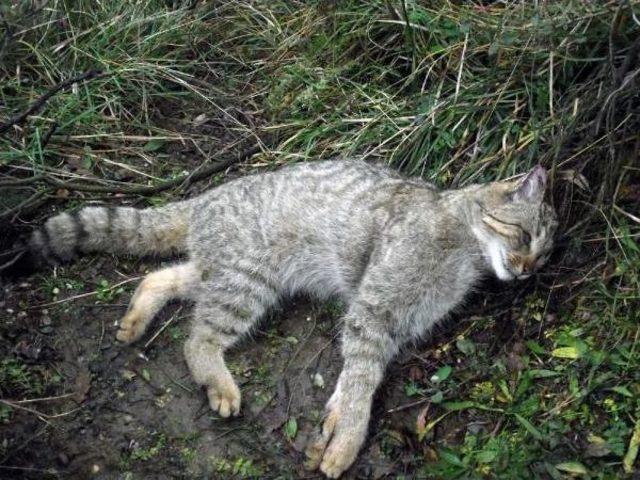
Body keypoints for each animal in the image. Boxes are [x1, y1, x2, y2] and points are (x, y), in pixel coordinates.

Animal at [30, 160, 556, 476]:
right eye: (524, 235)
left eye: (545, 252)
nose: (529, 270)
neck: (463, 244)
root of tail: (205, 198)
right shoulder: (374, 309)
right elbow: (362, 382)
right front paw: (347, 442)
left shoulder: (391, 325)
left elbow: (352, 380)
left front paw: (333, 423)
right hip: (246, 281)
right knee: (197, 339)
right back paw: (219, 384)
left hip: (222, 272)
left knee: (160, 277)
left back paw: (137, 317)